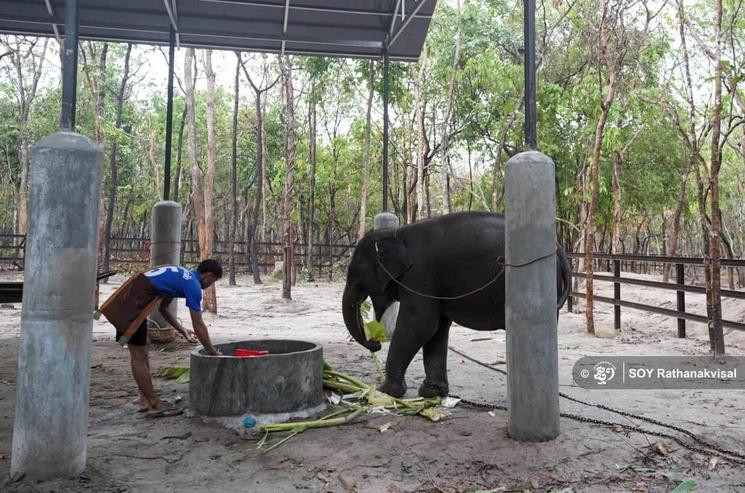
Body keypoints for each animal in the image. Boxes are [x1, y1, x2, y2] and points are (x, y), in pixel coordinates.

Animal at [342, 209, 568, 398]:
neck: (396, 233)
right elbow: (436, 329)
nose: (375, 344)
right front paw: (432, 393)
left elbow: (419, 324)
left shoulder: (419, 275)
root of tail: (557, 246)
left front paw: (385, 392)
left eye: (355, 273)